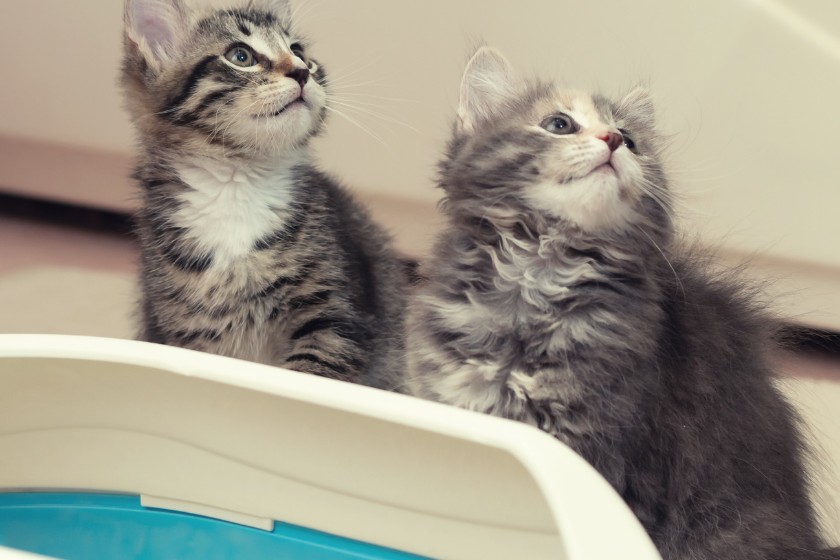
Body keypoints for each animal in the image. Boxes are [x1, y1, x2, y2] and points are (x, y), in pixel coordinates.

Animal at [120, 0, 406, 390]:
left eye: (300, 53)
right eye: (240, 56)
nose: (302, 72)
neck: (235, 184)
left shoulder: (334, 320)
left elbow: (308, 378)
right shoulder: (185, 331)